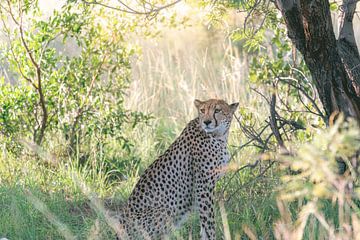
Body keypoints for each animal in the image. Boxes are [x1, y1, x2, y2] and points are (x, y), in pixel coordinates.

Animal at [116, 98, 239, 239]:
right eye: (202, 110)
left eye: (217, 110)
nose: (207, 122)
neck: (219, 135)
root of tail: (118, 233)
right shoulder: (203, 186)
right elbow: (208, 221)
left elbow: (204, 223)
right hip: (164, 212)